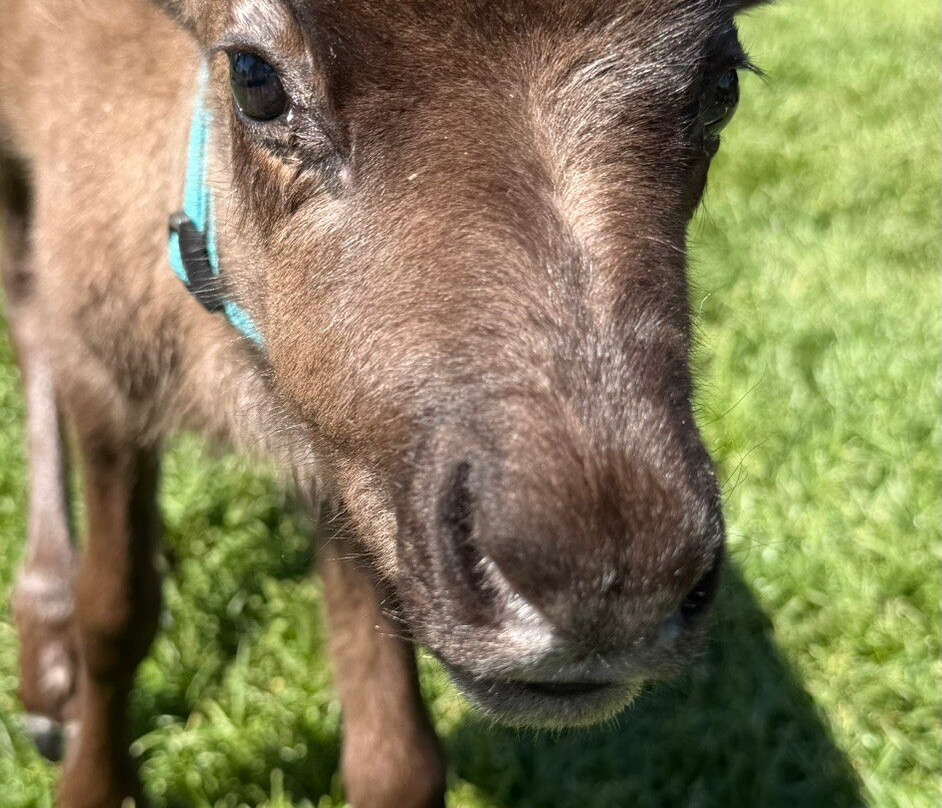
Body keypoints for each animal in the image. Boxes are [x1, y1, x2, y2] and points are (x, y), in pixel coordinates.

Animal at [0, 0, 765, 806]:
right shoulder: (101, 364)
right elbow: (115, 613)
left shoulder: (349, 464)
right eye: (254, 79)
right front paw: (89, 773)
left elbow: (395, 755)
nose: (612, 589)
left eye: (721, 86)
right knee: (23, 309)